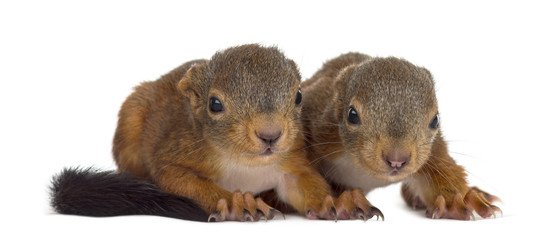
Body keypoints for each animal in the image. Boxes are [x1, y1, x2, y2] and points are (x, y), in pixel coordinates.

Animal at [50, 44, 368, 221]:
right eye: (214, 104)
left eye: (299, 96)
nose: (270, 134)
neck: (246, 164)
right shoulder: (176, 157)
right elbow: (184, 181)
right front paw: (235, 203)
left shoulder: (292, 162)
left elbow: (306, 186)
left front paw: (334, 204)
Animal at [300, 53, 500, 220]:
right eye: (352, 115)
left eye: (435, 120)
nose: (397, 159)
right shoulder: (320, 124)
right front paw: (338, 203)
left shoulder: (432, 153)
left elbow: (444, 172)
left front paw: (456, 203)